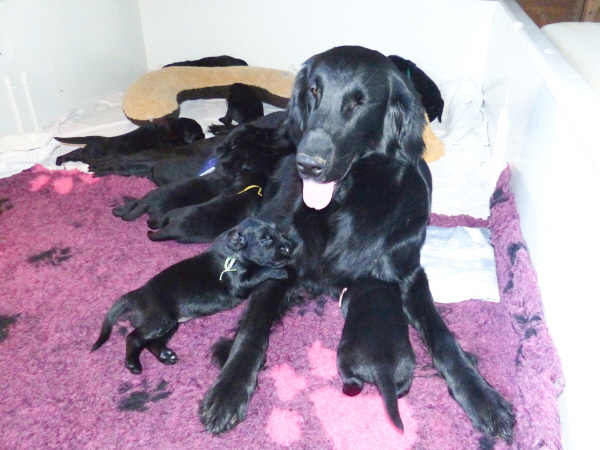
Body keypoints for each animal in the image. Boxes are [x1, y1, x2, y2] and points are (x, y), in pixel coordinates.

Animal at [55, 117, 205, 166]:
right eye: (198, 133)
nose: (204, 135)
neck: (173, 127)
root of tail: (94, 138)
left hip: (88, 152)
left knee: (78, 151)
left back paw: (59, 159)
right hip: (93, 155)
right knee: (80, 153)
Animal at [90, 216, 293, 374]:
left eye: (279, 232)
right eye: (265, 241)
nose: (289, 247)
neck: (234, 252)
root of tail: (136, 295)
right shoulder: (238, 284)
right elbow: (260, 271)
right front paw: (280, 271)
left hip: (170, 323)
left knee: (149, 342)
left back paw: (166, 355)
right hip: (159, 320)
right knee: (133, 338)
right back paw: (133, 364)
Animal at [337, 279, 415, 432]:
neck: (376, 286)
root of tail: (381, 363)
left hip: (343, 355)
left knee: (354, 381)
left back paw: (347, 389)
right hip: (408, 366)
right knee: (402, 387)